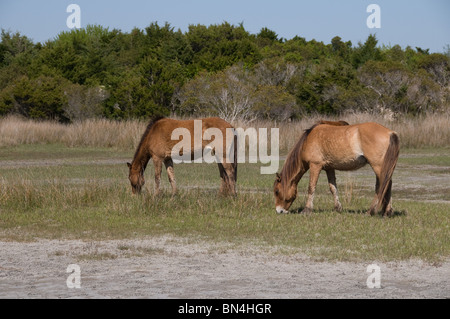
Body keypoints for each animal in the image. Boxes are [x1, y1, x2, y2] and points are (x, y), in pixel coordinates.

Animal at [272, 120, 400, 218]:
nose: (279, 210)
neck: (308, 139)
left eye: (277, 191)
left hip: (378, 166)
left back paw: (374, 212)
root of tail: (390, 132)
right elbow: (333, 188)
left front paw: (307, 209)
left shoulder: (315, 166)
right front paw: (338, 208)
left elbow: (311, 188)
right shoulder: (329, 168)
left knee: (384, 185)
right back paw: (385, 212)